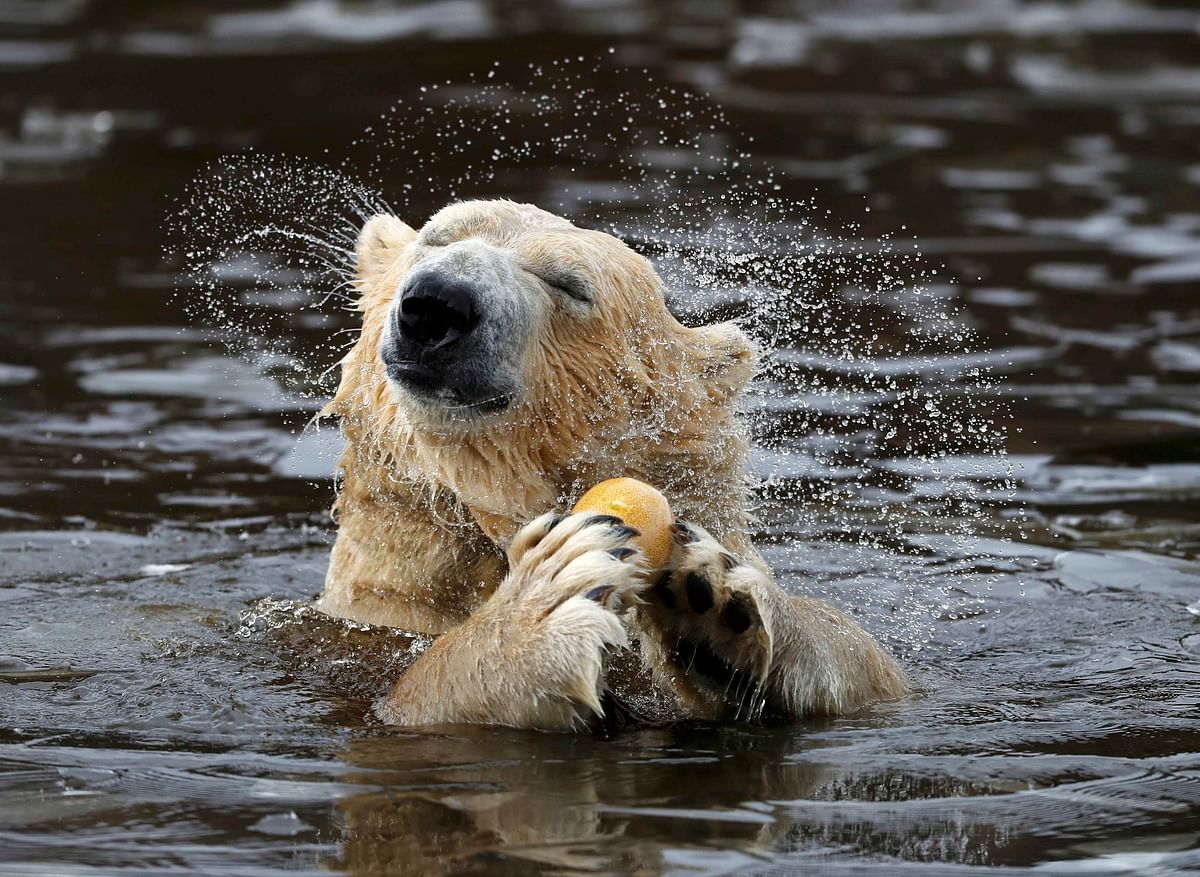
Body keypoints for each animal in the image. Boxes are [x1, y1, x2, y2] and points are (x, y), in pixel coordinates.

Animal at [314, 200, 902, 734]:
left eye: (569, 284)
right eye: (436, 238)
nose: (437, 303)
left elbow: (880, 673)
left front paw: (718, 596)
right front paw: (539, 606)